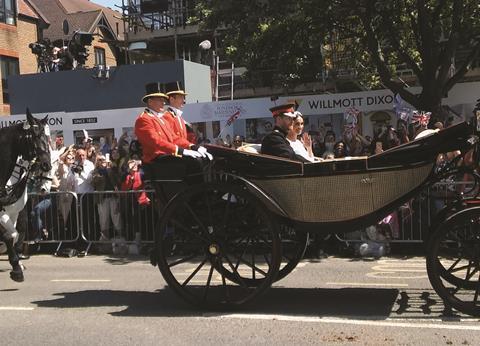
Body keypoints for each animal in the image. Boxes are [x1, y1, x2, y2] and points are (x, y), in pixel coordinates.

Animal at [0, 109, 51, 282]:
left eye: (48, 136)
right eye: (34, 135)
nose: (47, 164)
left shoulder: (13, 212)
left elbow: (14, 234)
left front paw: (17, 265)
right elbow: (9, 235)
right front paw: (16, 268)